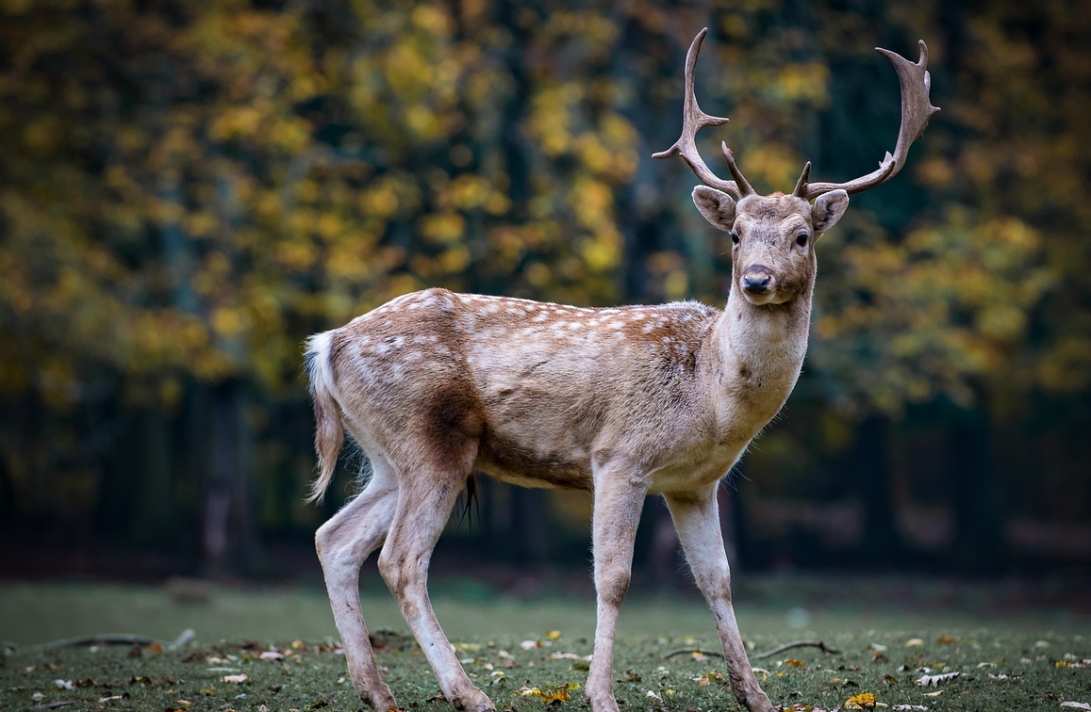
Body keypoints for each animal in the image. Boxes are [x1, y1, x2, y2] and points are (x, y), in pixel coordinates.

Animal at [305, 26, 938, 710]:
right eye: (736, 234)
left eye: (801, 236)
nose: (756, 280)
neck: (710, 394)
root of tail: (327, 344)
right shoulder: (618, 456)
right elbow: (614, 577)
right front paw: (601, 694)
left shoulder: (695, 483)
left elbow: (717, 578)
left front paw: (756, 695)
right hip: (430, 438)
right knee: (400, 560)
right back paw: (468, 693)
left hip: (387, 454)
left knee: (335, 540)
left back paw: (378, 692)